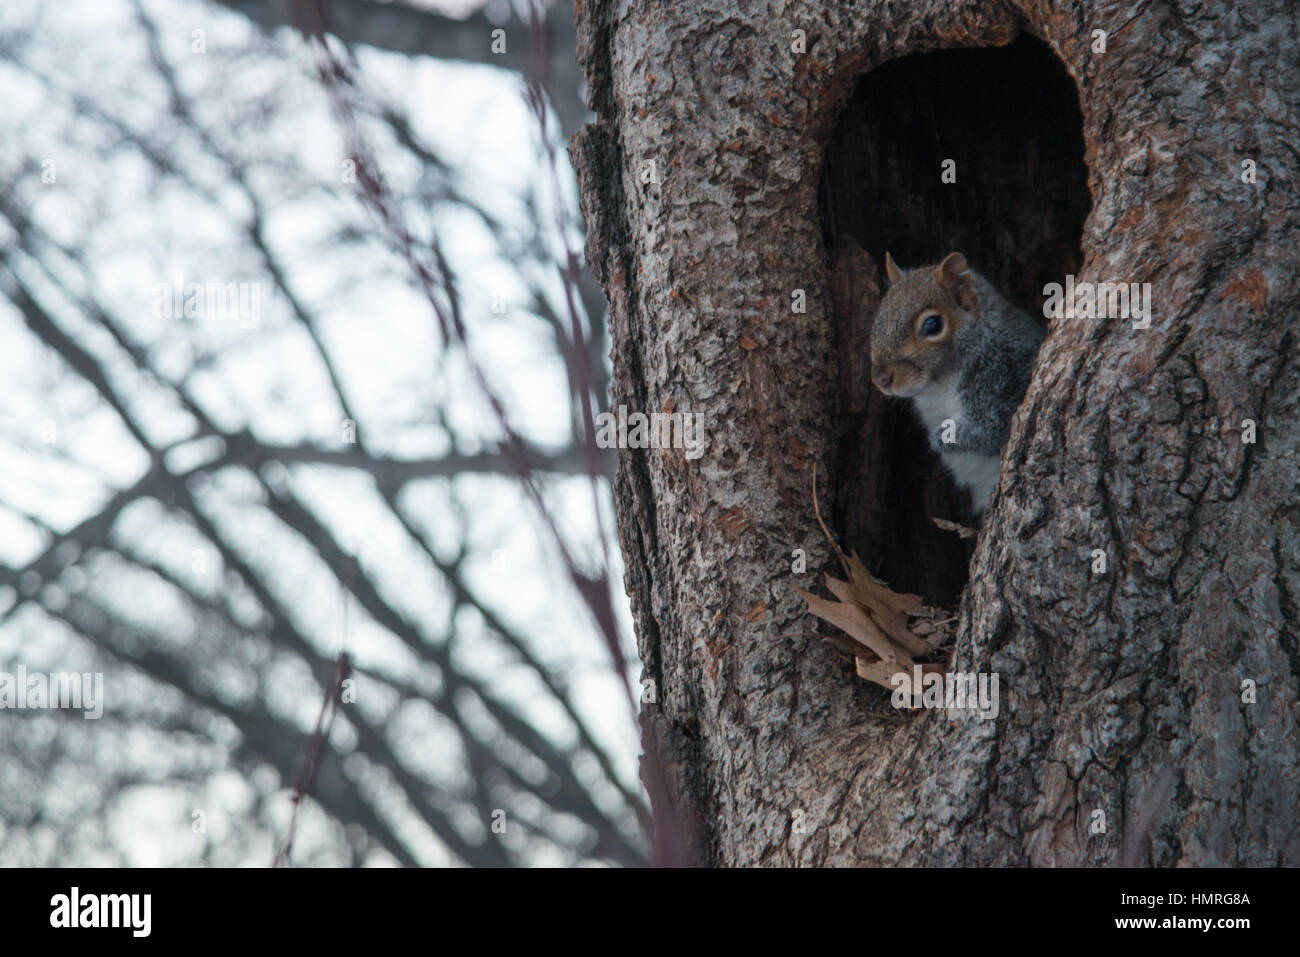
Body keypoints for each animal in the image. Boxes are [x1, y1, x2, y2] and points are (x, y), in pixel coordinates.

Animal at [869, 251, 1045, 516]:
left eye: (932, 325)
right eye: (880, 314)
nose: (881, 378)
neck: (939, 386)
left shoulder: (1003, 379)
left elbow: (990, 432)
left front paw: (939, 440)